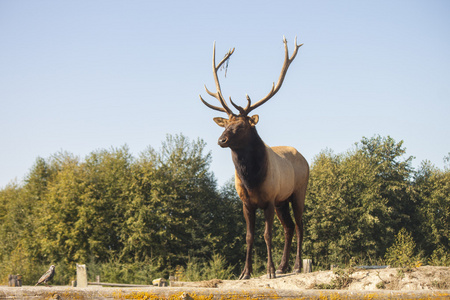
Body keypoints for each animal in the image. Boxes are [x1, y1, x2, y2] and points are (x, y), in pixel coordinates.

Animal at [200, 37, 310, 278]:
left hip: (297, 192)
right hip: (282, 202)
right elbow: (249, 237)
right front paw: (245, 272)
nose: (221, 140)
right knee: (288, 227)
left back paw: (297, 266)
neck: (252, 179)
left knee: (299, 225)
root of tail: (304, 158)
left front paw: (269, 271)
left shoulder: (269, 199)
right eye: (226, 124)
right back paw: (283, 265)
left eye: (241, 126)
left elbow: (267, 235)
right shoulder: (246, 203)